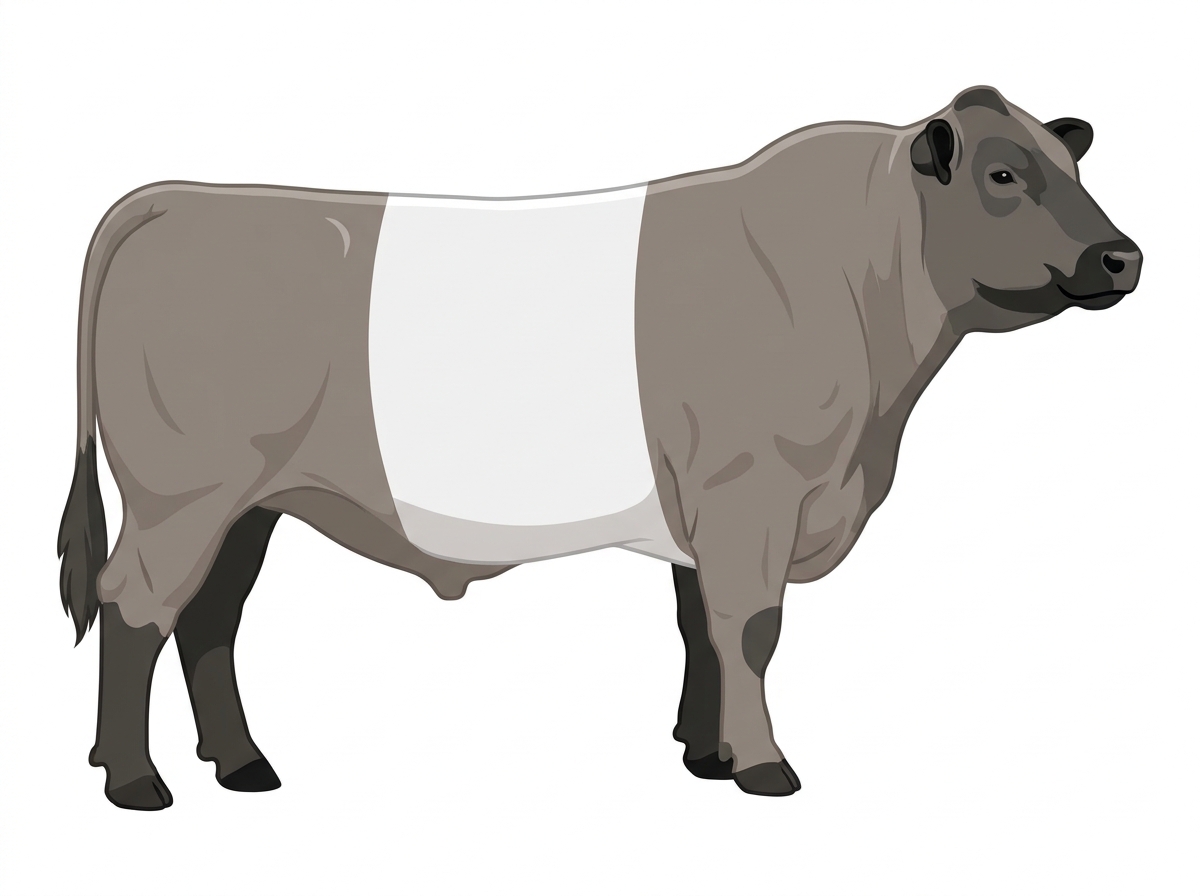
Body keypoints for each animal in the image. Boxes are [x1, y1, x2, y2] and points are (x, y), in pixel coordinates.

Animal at [58, 86, 1141, 809]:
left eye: (1076, 168)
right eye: (1002, 175)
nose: (1121, 255)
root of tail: (174, 195)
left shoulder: (710, 508)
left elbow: (702, 626)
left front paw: (706, 754)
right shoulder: (753, 491)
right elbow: (750, 626)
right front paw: (764, 766)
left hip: (249, 501)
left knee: (209, 618)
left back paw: (242, 764)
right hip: (183, 492)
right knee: (137, 605)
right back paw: (136, 779)